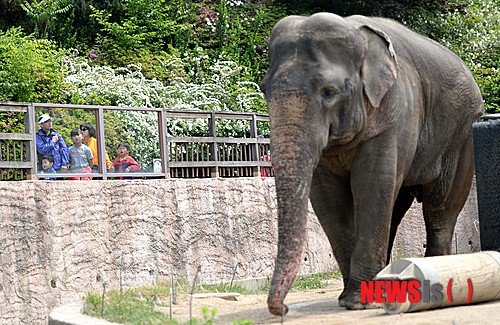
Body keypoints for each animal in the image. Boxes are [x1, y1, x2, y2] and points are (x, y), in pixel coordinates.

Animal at [262, 12, 484, 314]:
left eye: (329, 92)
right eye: (264, 90)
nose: (283, 309)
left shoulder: (395, 112)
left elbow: (372, 182)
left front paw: (359, 302)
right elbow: (327, 197)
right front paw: (350, 299)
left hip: (462, 135)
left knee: (440, 207)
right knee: (395, 206)